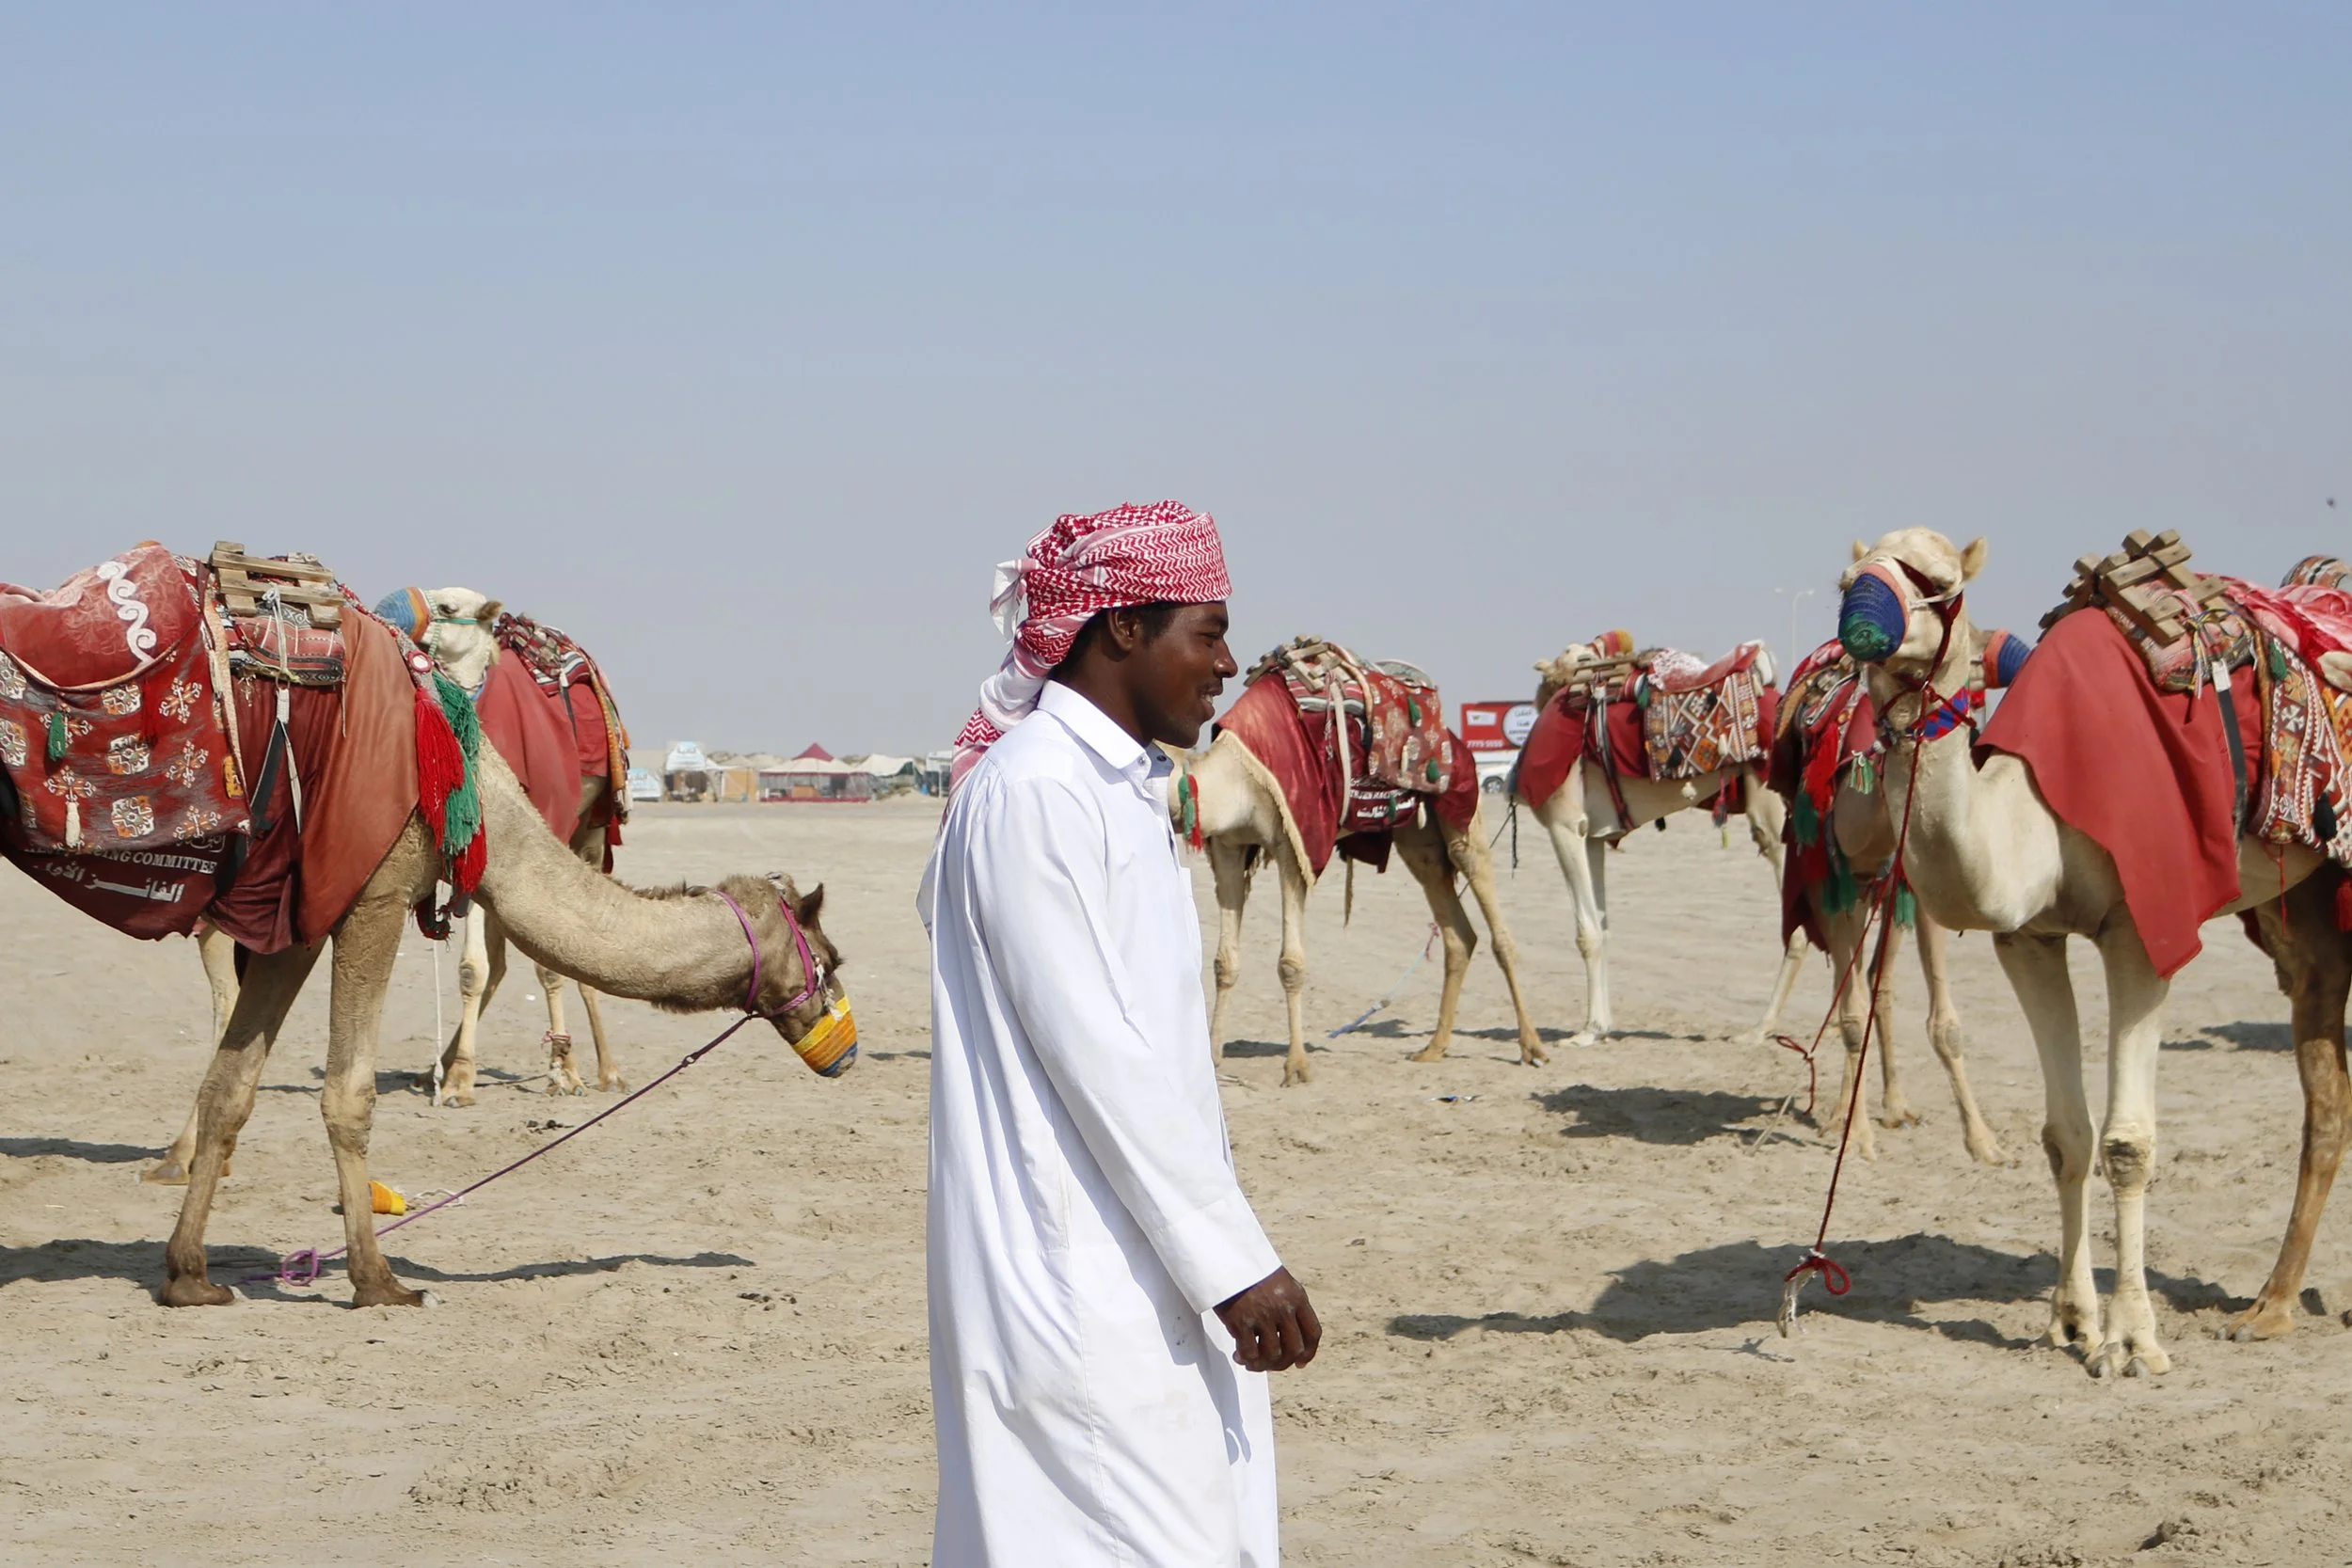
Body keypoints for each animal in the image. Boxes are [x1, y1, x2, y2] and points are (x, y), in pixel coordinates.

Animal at [160, 742, 848, 1307]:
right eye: (831, 958)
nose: (846, 1047)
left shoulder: (296, 907)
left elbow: (231, 1083)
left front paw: (188, 1275)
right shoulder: (374, 891)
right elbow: (347, 1094)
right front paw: (379, 1282)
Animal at [1173, 729, 1546, 1088]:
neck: (1234, 779)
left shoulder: (1293, 845)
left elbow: (1290, 964)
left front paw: (1297, 1067)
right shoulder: (1228, 847)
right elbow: (1224, 962)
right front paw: (1211, 1060)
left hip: (1462, 814)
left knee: (1494, 921)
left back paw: (1532, 1047)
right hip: (1418, 841)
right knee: (1458, 935)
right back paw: (1434, 1048)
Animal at [1522, 639, 1785, 1046]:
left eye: (1582, 655)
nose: (1595, 667)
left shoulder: (1564, 825)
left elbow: (1587, 933)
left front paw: (1586, 1032)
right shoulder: (1593, 835)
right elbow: (1603, 927)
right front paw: (1601, 1026)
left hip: (1773, 806)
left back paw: (1760, 1029)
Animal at [1840, 527, 2331, 1376]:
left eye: (1935, 580)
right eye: (1848, 574)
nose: (1857, 615)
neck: (2035, 814)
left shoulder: (2141, 930)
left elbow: (2127, 1143)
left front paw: (2133, 1342)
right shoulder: (2029, 938)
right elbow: (2065, 1137)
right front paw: (2071, 1321)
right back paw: (2269, 1307)